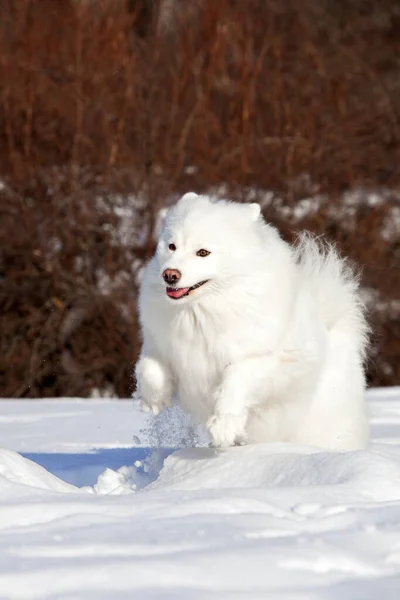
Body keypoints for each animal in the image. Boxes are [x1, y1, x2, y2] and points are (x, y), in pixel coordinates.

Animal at [136, 192, 370, 450]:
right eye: (172, 246)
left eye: (203, 252)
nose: (169, 275)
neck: (200, 311)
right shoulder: (159, 345)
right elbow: (149, 368)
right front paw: (154, 401)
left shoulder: (260, 359)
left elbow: (234, 382)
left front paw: (222, 428)